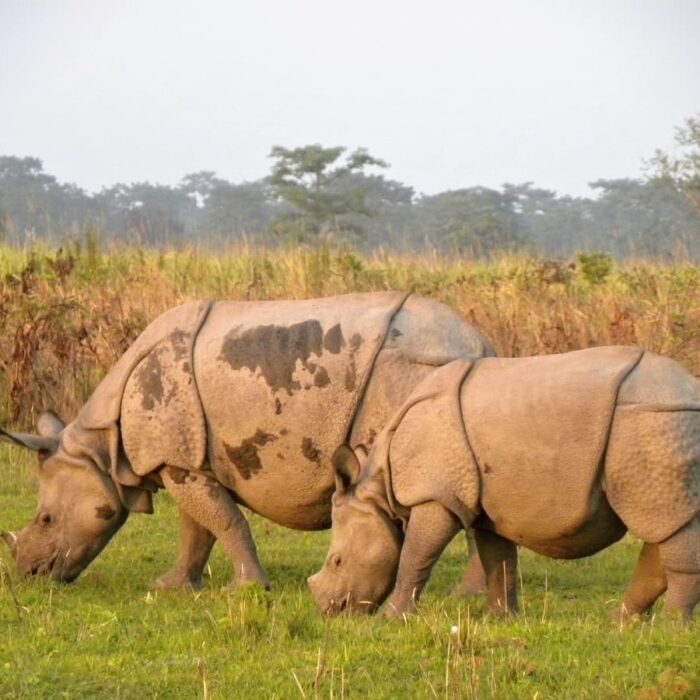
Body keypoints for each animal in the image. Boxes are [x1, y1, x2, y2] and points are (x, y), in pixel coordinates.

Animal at [0, 292, 494, 588]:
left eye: (46, 518)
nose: (30, 572)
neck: (100, 446)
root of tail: (480, 344)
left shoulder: (176, 459)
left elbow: (223, 521)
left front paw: (249, 588)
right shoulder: (185, 459)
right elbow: (197, 528)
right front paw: (173, 587)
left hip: (414, 369)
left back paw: (464, 595)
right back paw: (470, 595)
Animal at [308, 347, 700, 621]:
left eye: (338, 562)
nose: (329, 611)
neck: (380, 492)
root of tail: (691, 393)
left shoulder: (436, 496)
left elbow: (415, 556)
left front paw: (393, 618)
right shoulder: (486, 508)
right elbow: (498, 559)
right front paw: (499, 617)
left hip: (653, 425)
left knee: (666, 526)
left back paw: (669, 627)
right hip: (659, 427)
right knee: (665, 530)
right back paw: (621, 623)